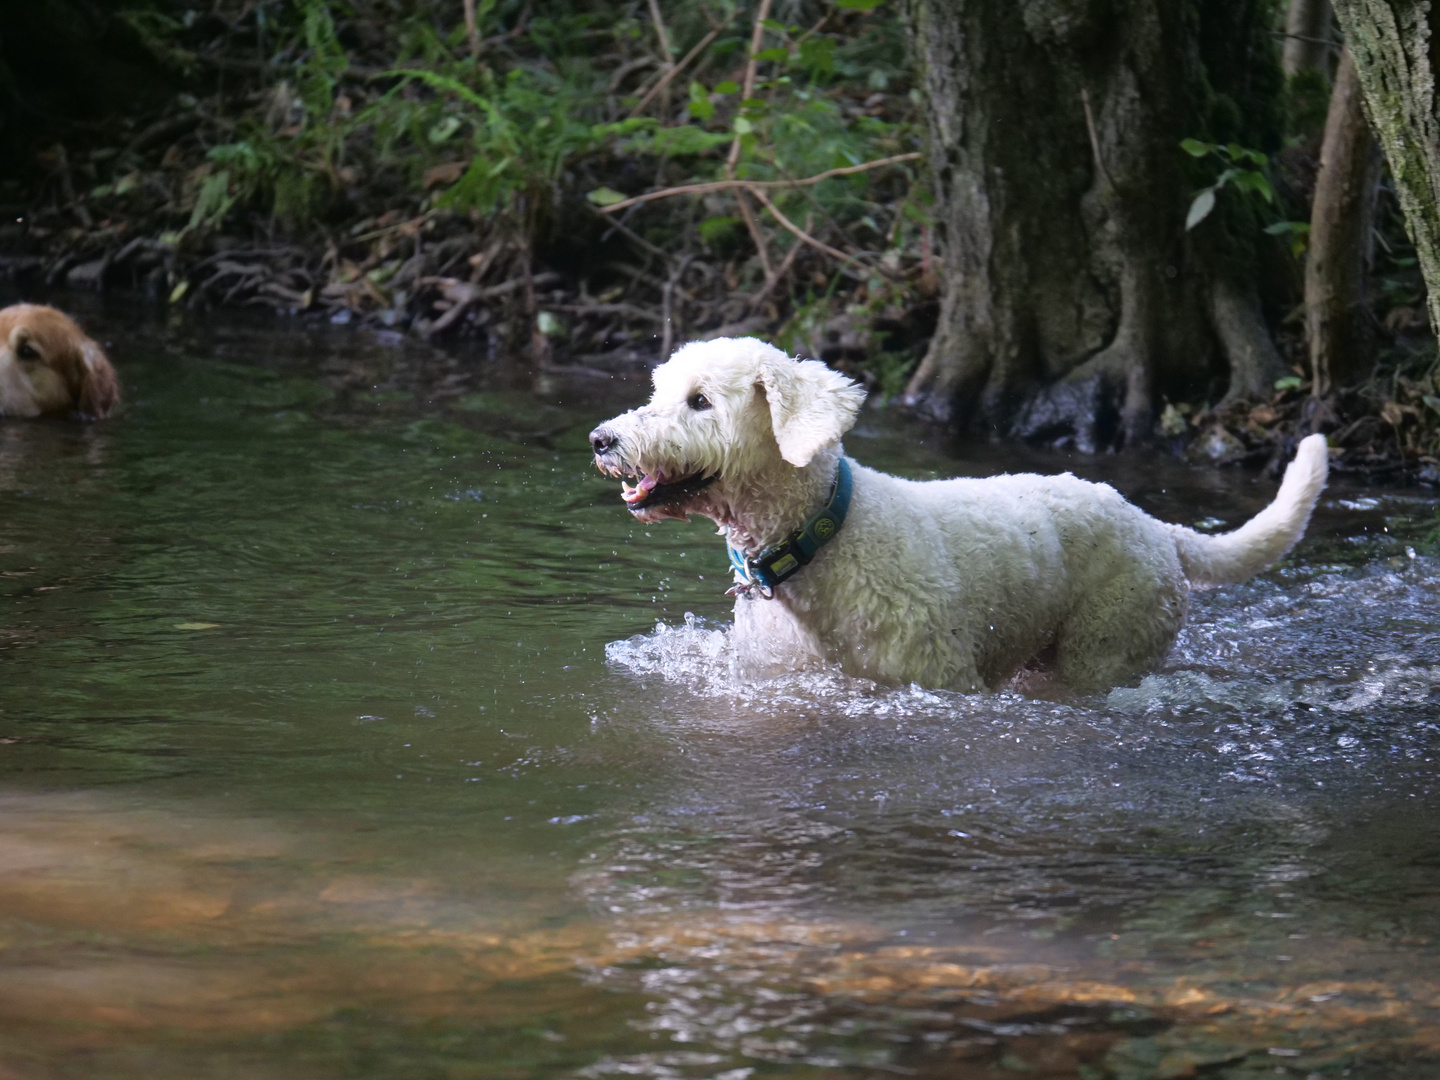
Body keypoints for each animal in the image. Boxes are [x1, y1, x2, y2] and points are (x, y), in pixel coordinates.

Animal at [587, 338, 1324, 694]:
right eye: (657, 389)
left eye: (700, 401)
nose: (601, 439)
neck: (821, 540)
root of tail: (1156, 527)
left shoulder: (939, 679)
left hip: (1104, 647)